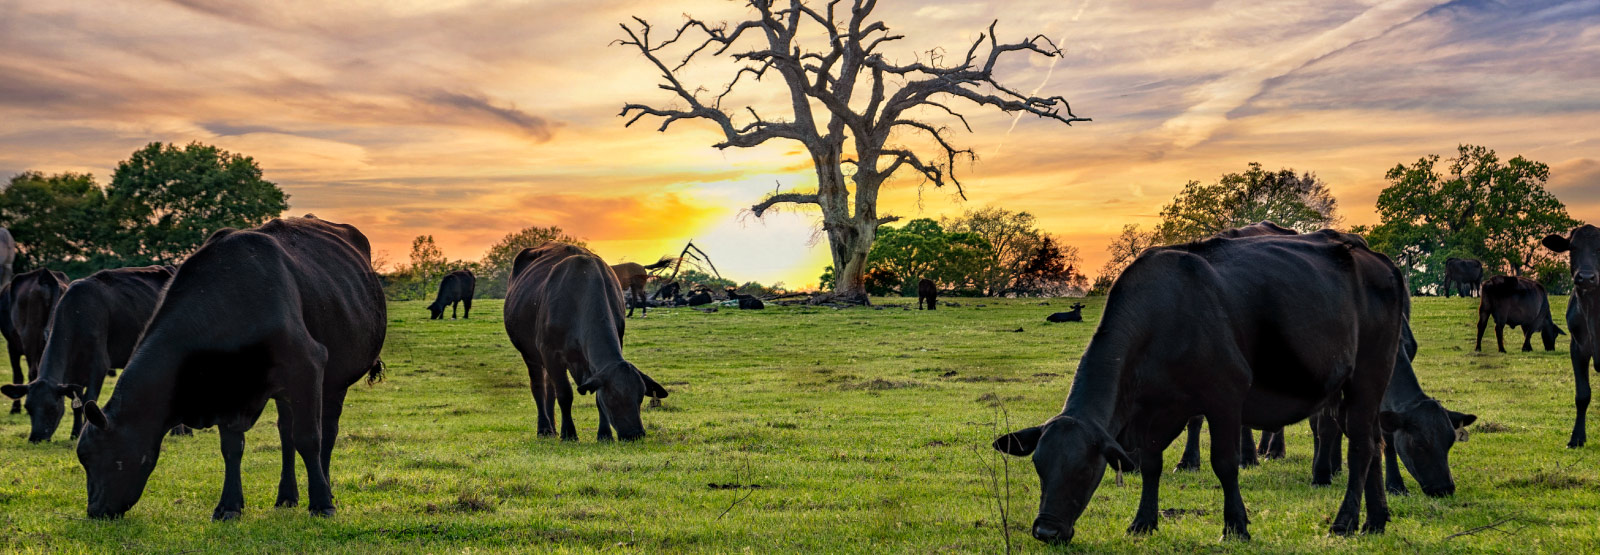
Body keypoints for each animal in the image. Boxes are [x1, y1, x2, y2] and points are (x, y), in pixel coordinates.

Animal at [1, 267, 175, 444]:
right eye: (28, 408)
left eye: (52, 408)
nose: (35, 438)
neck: (77, 314)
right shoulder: (73, 374)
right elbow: (76, 404)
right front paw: (75, 433)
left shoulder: (99, 365)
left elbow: (88, 400)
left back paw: (179, 432)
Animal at [75, 217, 387, 521]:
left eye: (94, 455)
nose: (95, 511)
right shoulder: (226, 388)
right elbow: (232, 448)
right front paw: (229, 506)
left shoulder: (306, 364)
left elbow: (309, 438)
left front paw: (322, 504)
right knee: (286, 434)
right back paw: (286, 497)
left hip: (334, 380)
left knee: (327, 431)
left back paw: (326, 489)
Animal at [505, 243, 668, 444]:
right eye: (613, 397)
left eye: (640, 397)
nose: (635, 434)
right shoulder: (550, 352)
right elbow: (565, 394)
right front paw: (569, 433)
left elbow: (594, 395)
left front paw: (604, 434)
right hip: (530, 354)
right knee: (538, 387)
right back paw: (544, 428)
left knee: (549, 389)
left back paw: (553, 428)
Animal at [992, 228, 1408, 543]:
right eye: (1039, 467)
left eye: (1083, 470)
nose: (1046, 531)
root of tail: (1377, 259)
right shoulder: (1154, 411)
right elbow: (1151, 465)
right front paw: (1143, 522)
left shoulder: (1225, 396)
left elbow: (1224, 463)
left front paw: (1236, 526)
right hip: (1350, 389)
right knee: (1373, 442)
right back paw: (1375, 520)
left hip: (1370, 374)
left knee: (1361, 446)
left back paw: (1345, 521)